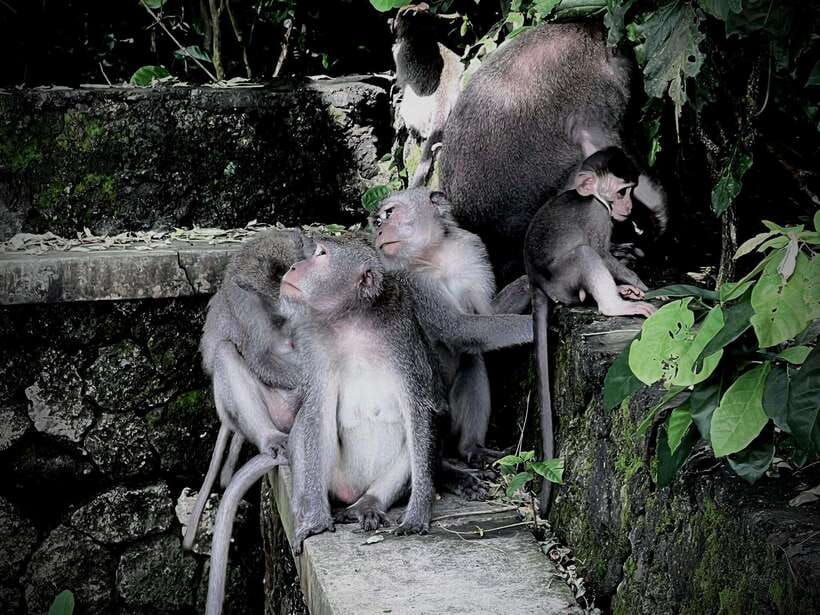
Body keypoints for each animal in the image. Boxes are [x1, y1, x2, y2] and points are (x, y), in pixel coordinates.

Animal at [277, 238, 439, 553]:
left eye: (321, 254)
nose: (292, 266)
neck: (353, 322)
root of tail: (353, 490)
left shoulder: (404, 340)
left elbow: (418, 411)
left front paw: (417, 512)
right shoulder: (314, 343)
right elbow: (317, 411)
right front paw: (316, 519)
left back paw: (368, 504)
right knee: (305, 424)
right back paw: (307, 504)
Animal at [371, 188, 534, 463]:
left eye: (389, 214)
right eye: (378, 222)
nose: (380, 230)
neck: (435, 254)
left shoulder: (472, 249)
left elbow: (488, 313)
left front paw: (529, 284)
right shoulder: (414, 281)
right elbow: (457, 328)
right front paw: (533, 326)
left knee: (472, 359)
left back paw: (471, 447)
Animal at [392, 3, 463, 188]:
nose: (392, 24)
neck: (419, 32)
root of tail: (443, 96)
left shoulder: (400, 56)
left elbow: (401, 81)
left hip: (413, 108)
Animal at [524, 147, 657, 517]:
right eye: (623, 192)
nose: (629, 208)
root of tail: (536, 283)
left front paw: (635, 284)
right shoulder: (598, 215)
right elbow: (600, 252)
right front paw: (640, 282)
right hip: (564, 281)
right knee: (585, 254)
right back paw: (615, 305)